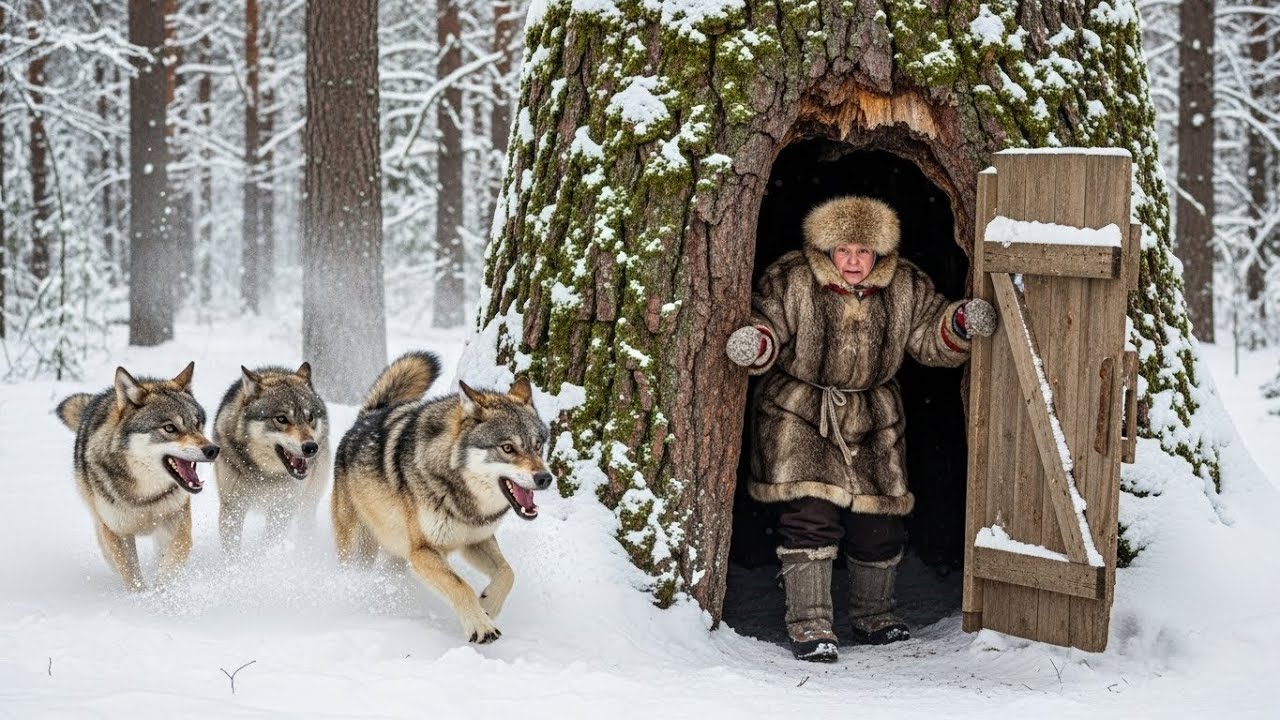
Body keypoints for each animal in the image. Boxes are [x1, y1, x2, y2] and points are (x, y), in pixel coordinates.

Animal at [55, 362, 218, 591]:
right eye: (170, 428)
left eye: (197, 424)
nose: (213, 450)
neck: (145, 496)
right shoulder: (118, 534)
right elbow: (132, 576)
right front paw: (142, 597)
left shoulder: (177, 528)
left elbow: (170, 566)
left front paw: (161, 592)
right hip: (102, 528)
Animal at [212, 363, 330, 556]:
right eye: (281, 418)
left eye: (310, 417)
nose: (311, 447)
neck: (265, 474)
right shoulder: (233, 506)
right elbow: (232, 550)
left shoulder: (281, 508)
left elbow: (269, 543)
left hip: (307, 501)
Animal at [331, 351, 554, 643]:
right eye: (507, 448)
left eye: (538, 446)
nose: (545, 478)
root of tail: (367, 415)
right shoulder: (423, 551)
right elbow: (460, 585)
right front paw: (480, 625)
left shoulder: (476, 540)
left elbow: (508, 573)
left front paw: (488, 607)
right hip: (359, 548)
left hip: (396, 555)